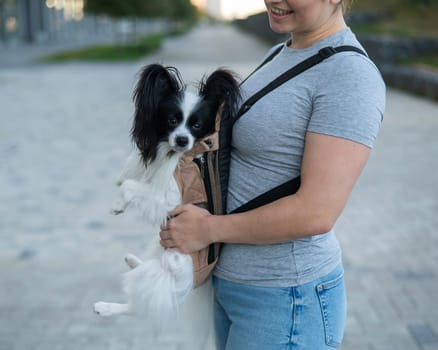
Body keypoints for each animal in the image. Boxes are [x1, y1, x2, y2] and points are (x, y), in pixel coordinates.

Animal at [93, 61, 241, 340]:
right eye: (172, 120)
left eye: (197, 126)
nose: (182, 139)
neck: (176, 156)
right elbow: (135, 169)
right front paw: (123, 174)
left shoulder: (167, 199)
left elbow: (131, 188)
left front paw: (118, 205)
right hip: (157, 246)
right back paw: (132, 262)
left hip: (165, 271)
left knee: (141, 305)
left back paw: (105, 307)